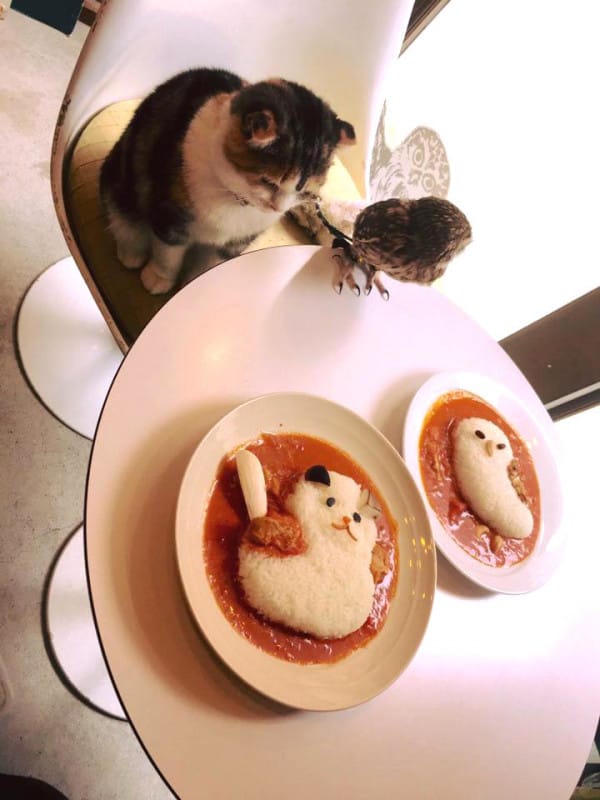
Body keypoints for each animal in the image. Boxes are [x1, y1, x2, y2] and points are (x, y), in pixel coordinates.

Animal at [97, 68, 352, 294]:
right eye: (269, 182)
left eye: (305, 193)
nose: (276, 208)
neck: (235, 199)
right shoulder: (171, 213)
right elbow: (168, 251)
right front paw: (159, 278)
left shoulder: (233, 243)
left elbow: (210, 265)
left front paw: (195, 287)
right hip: (122, 180)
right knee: (125, 218)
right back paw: (132, 253)